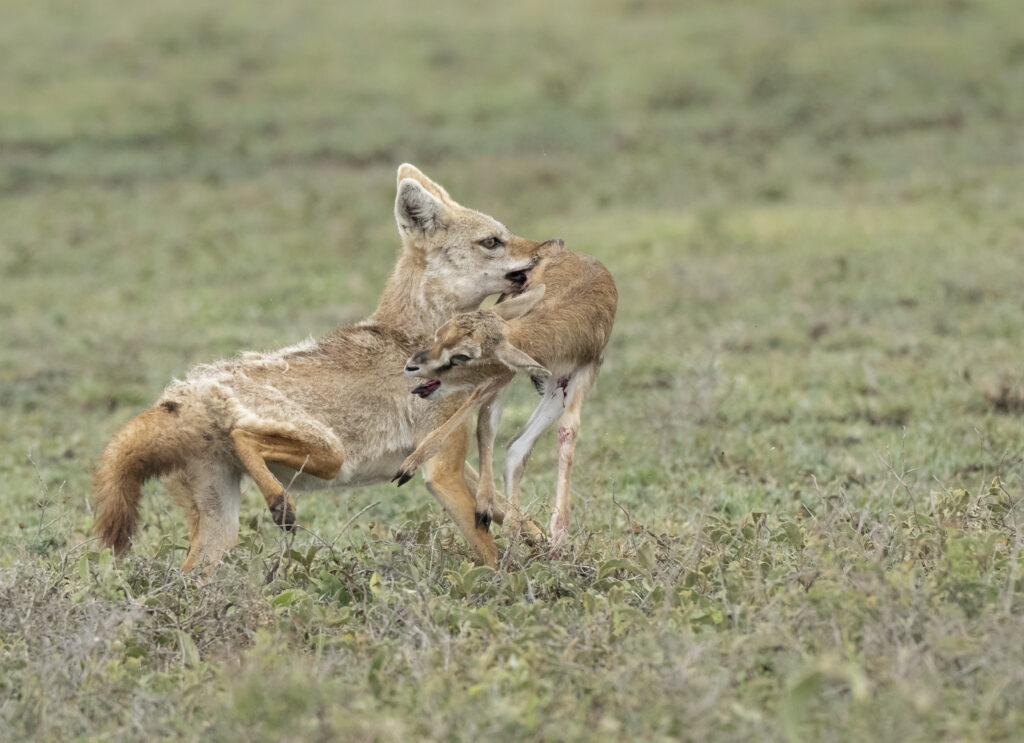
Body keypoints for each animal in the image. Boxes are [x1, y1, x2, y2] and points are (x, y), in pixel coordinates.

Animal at [394, 241, 617, 549]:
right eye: (440, 333)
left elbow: (567, 431)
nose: (413, 365)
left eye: (462, 355)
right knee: (489, 424)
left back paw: (514, 525)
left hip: (549, 384)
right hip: (513, 370)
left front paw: (558, 536)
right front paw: (409, 466)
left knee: (515, 444)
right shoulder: (506, 370)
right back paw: (490, 509)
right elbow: (483, 421)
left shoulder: (582, 370)